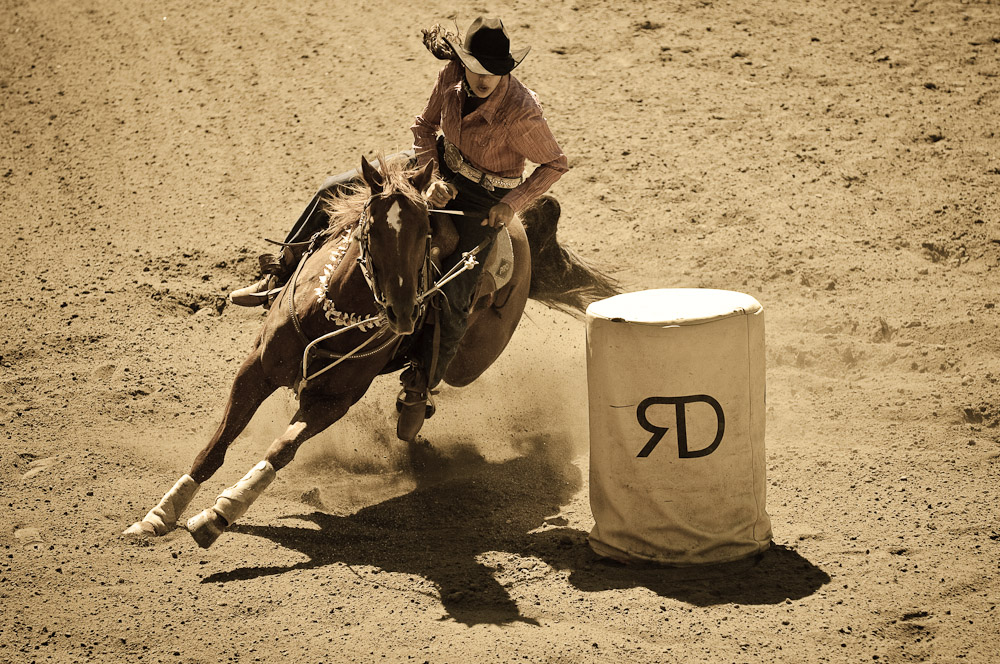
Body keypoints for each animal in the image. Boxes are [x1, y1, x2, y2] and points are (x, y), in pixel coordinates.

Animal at [125, 156, 616, 548]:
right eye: (371, 227)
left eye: (426, 232)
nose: (403, 313)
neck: (331, 314)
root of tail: (517, 223)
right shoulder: (254, 371)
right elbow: (216, 446)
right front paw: (159, 515)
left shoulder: (332, 401)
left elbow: (281, 449)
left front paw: (219, 513)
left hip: (470, 359)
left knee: (434, 372)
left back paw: (413, 406)